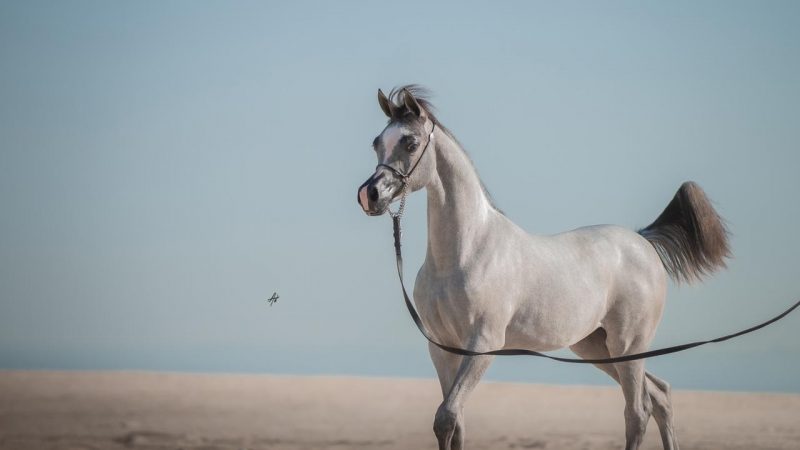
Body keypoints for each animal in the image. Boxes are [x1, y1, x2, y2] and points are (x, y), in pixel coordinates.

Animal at [357, 85, 730, 450]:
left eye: (410, 142)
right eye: (377, 142)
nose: (369, 195)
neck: (465, 253)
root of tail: (642, 240)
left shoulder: (482, 344)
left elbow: (447, 417)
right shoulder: (442, 347)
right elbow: (454, 423)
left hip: (629, 346)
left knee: (637, 412)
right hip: (596, 347)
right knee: (660, 396)